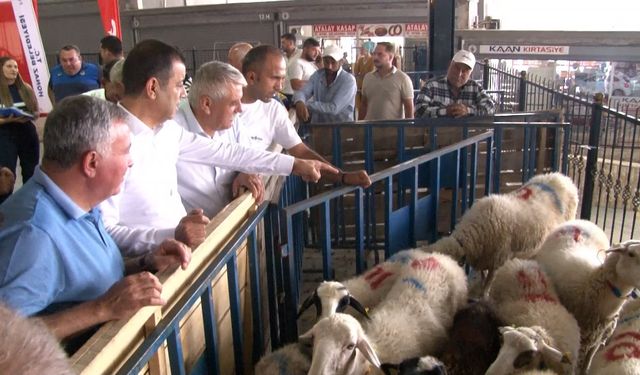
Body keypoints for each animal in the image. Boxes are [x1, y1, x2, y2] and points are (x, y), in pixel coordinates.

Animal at [422, 172, 576, 292]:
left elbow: (487, 285)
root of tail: (562, 177)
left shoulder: (499, 259)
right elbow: (483, 276)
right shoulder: (484, 258)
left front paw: (483, 296)